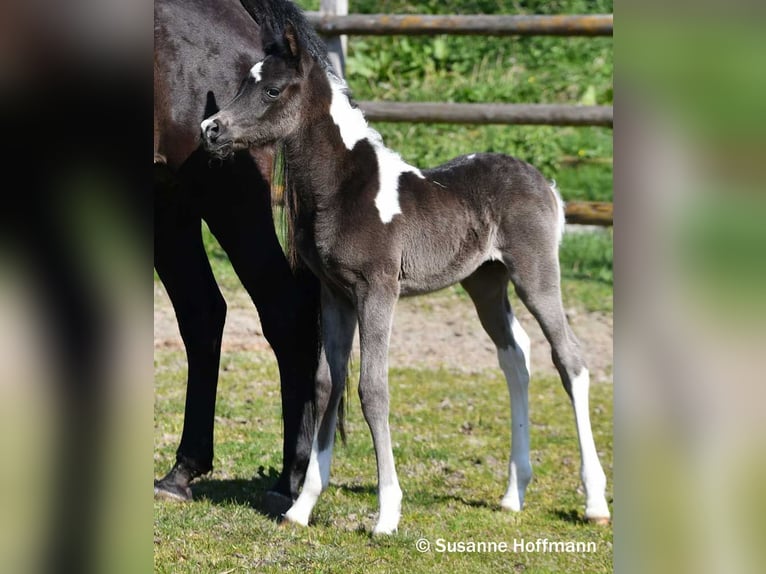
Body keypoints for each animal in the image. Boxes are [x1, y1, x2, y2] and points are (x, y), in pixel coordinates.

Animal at [153, 0, 335, 513]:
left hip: (224, 196)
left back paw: (290, 480)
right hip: (170, 202)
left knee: (284, 313)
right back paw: (181, 473)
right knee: (201, 312)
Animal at [201, 26, 612, 533]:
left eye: (273, 90)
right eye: (245, 82)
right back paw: (513, 494)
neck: (344, 189)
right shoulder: (335, 296)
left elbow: (372, 390)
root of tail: (546, 184)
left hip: (535, 274)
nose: (211, 129)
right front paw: (302, 507)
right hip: (485, 282)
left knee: (569, 358)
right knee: (516, 356)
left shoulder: (378, 291)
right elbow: (327, 383)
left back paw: (595, 502)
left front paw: (387, 513)